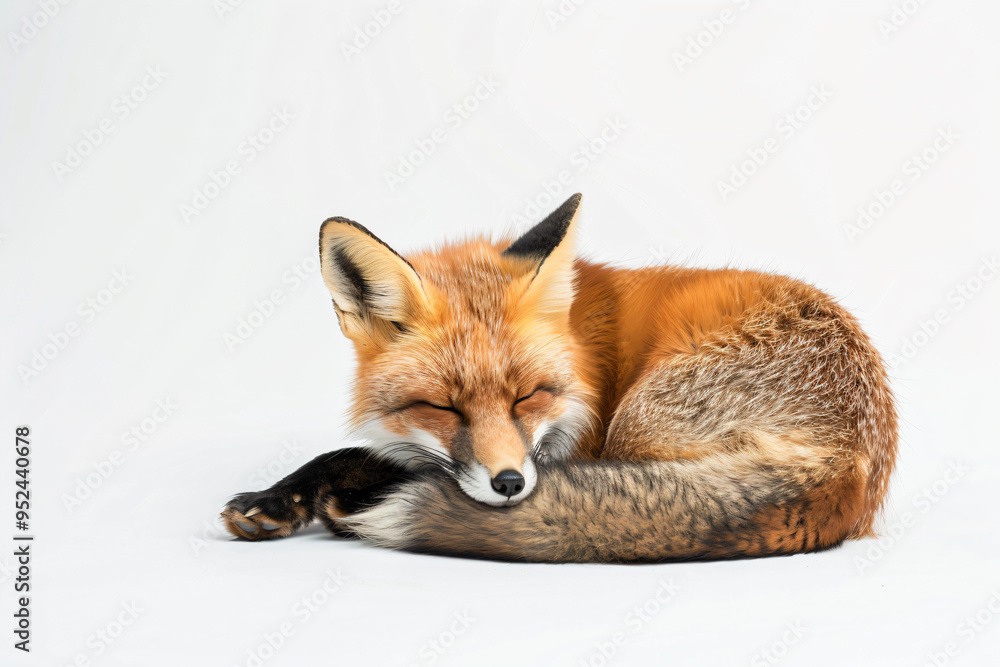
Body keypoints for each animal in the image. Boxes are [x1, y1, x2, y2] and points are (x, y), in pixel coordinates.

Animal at [221, 193, 898, 563]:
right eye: (444, 408)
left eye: (528, 396)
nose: (510, 485)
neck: (582, 351)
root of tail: (853, 461)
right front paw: (276, 498)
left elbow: (374, 460)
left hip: (637, 426)